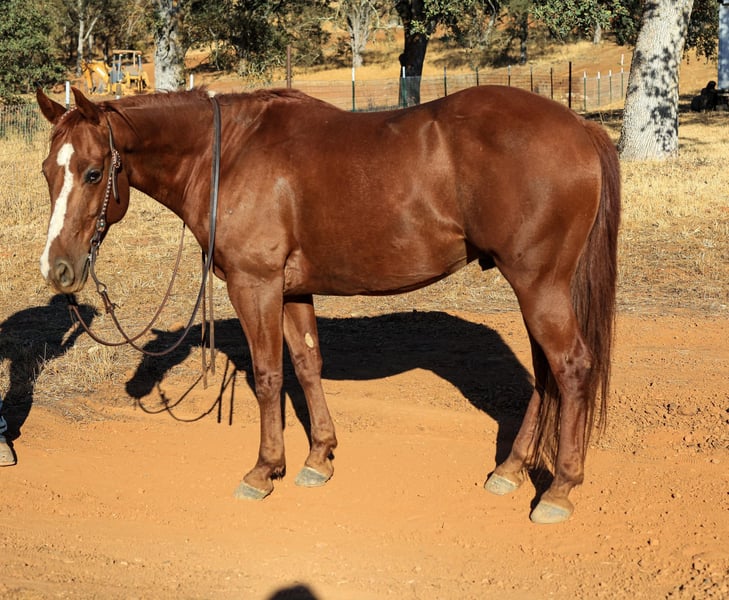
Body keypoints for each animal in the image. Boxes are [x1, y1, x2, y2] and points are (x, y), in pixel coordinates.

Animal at [36, 84, 620, 524]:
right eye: (47, 171)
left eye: (93, 172)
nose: (57, 269)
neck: (229, 155)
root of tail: (581, 127)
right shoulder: (292, 289)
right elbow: (306, 363)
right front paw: (319, 457)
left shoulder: (255, 284)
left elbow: (268, 375)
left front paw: (264, 470)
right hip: (536, 288)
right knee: (546, 375)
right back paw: (510, 470)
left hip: (538, 285)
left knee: (570, 368)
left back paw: (559, 490)